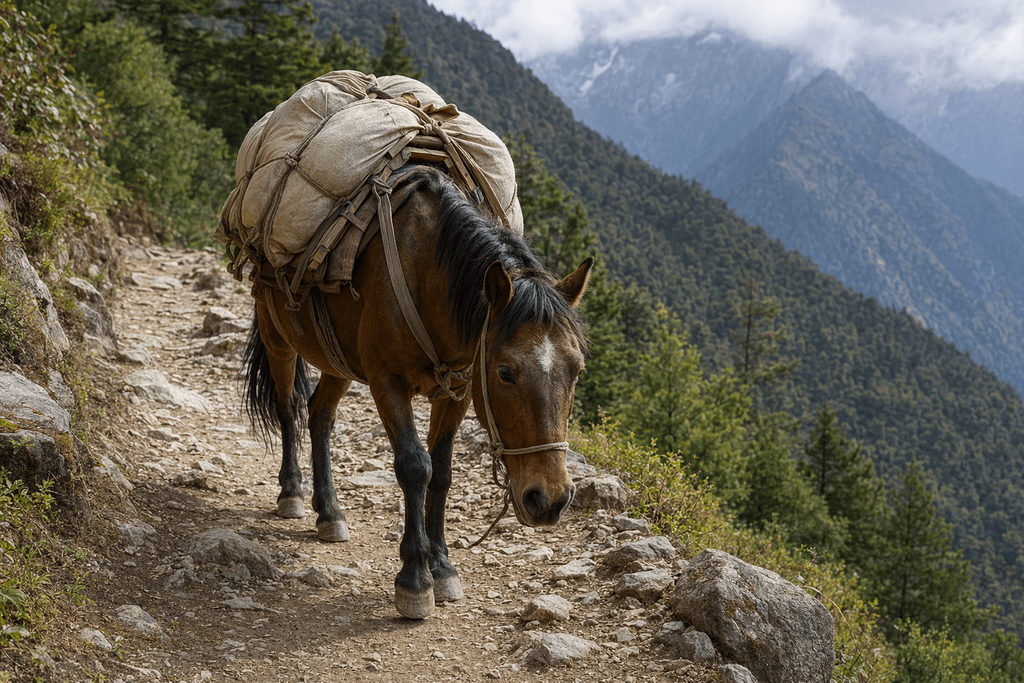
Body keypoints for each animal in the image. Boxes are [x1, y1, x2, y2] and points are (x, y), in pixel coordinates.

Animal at [240, 166, 593, 619]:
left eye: (577, 370)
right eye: (505, 372)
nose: (549, 499)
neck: (428, 273)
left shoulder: (457, 392)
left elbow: (441, 474)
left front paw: (442, 567)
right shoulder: (386, 382)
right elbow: (414, 466)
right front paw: (415, 577)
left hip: (339, 357)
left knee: (320, 414)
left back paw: (329, 511)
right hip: (277, 335)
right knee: (289, 408)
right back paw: (292, 492)